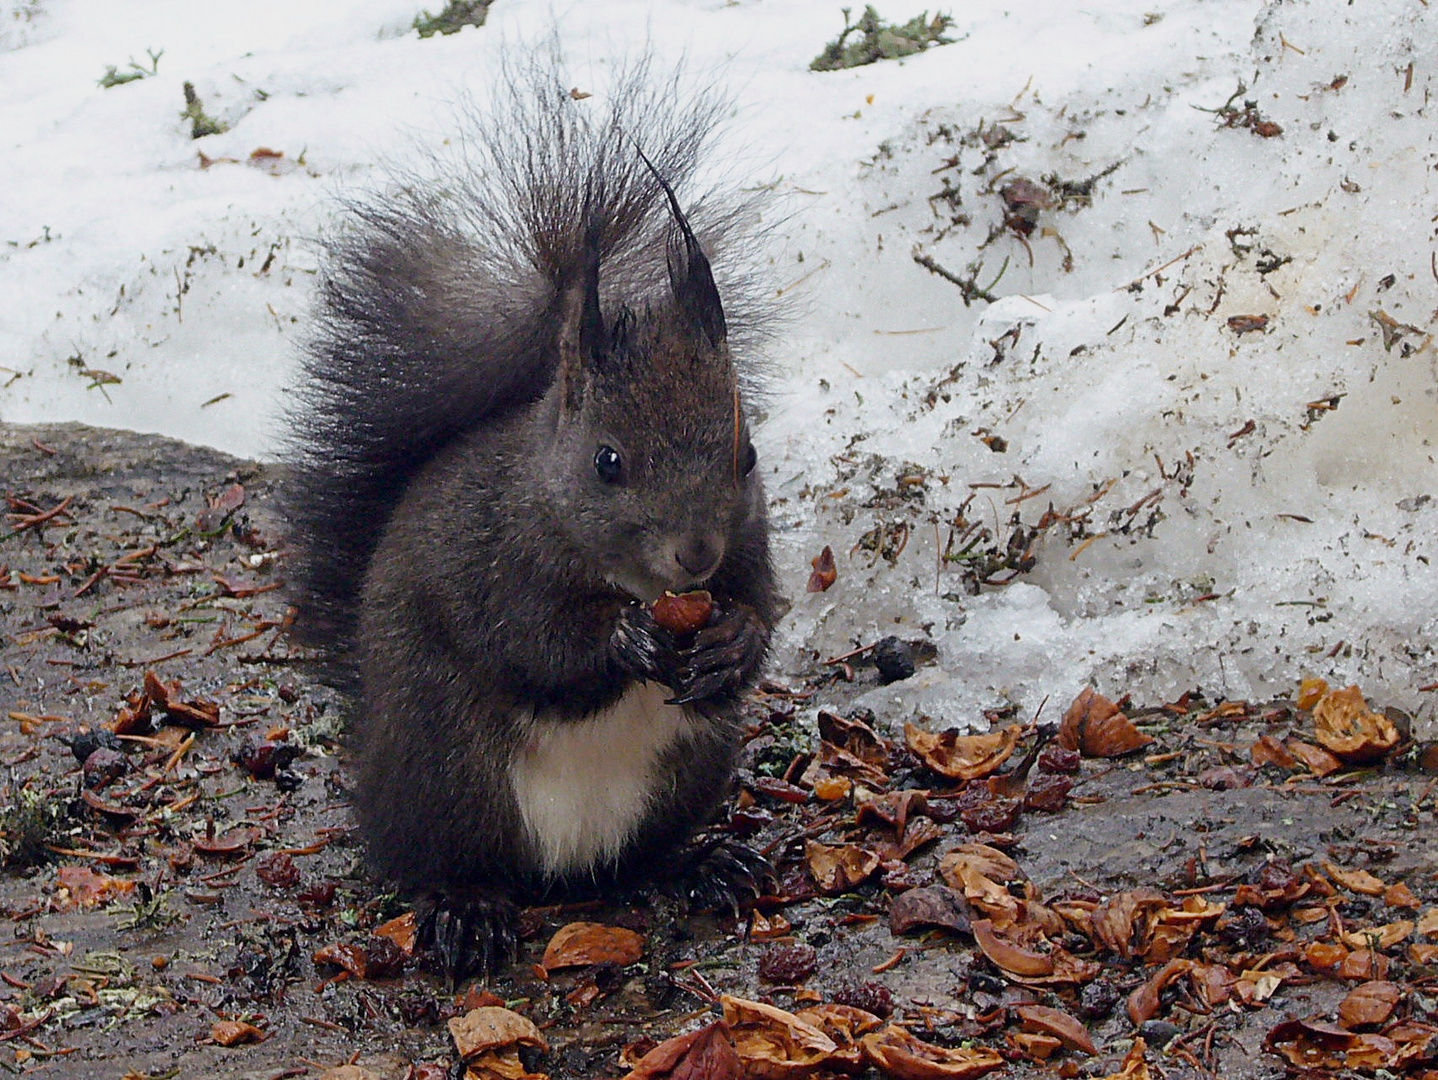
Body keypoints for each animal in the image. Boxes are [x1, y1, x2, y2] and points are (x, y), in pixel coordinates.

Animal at [278, 52, 776, 977]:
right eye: (608, 462)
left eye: (749, 455)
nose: (696, 554)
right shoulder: (492, 557)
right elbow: (531, 643)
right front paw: (625, 641)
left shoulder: (751, 548)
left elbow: (765, 610)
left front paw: (733, 640)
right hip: (448, 765)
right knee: (441, 858)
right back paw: (467, 908)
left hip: (690, 768)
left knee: (643, 856)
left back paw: (703, 861)